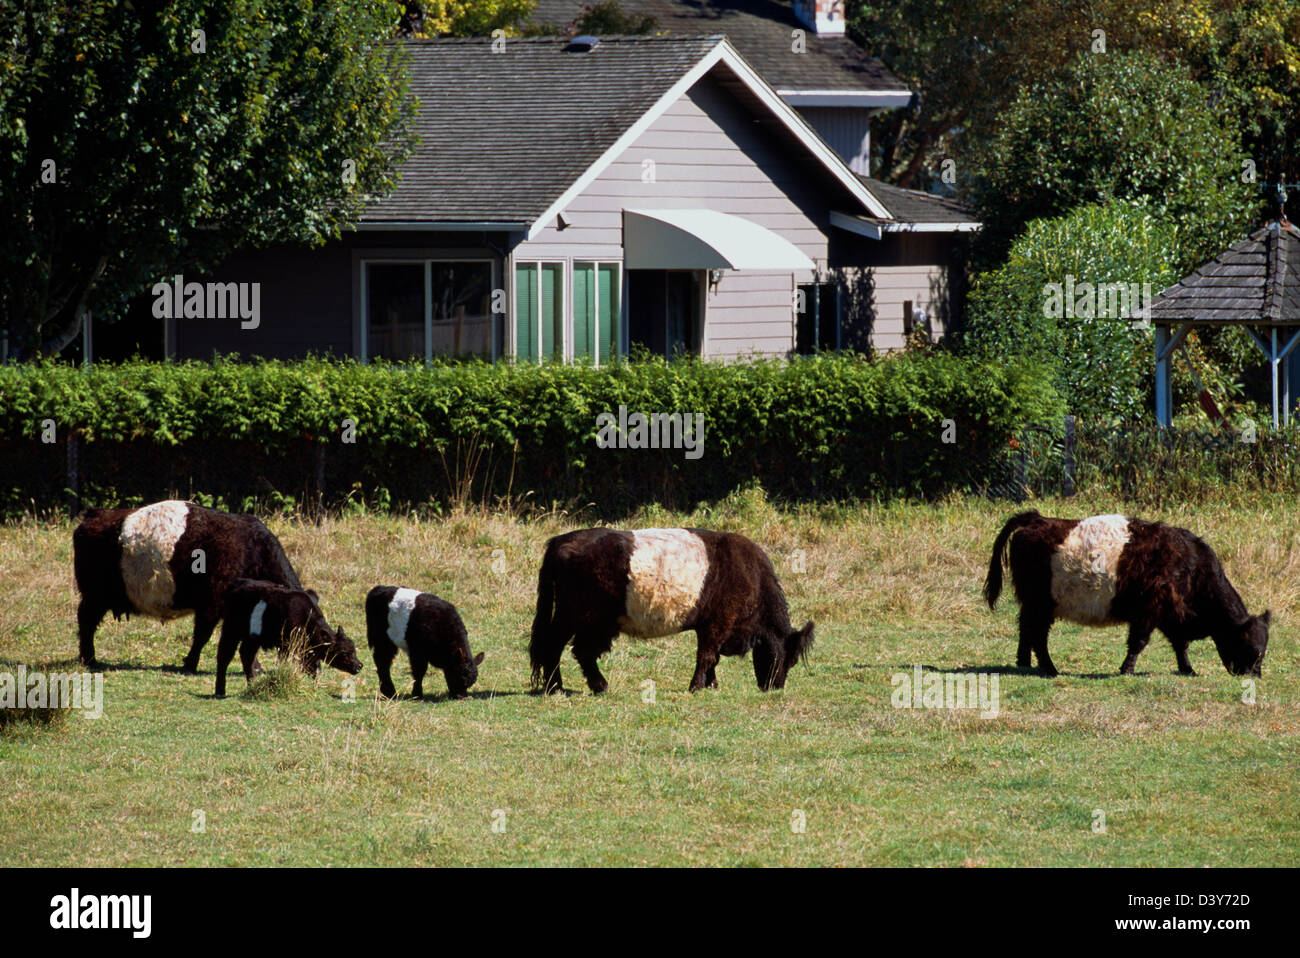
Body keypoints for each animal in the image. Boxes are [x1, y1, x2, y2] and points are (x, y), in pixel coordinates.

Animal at [75, 496, 306, 670]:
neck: (253, 551)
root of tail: (94, 514)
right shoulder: (212, 604)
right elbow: (202, 635)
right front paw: (190, 664)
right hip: (94, 597)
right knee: (86, 622)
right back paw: (89, 659)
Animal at [213, 574, 364, 696]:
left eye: (354, 650)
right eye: (344, 653)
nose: (359, 665)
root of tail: (236, 584)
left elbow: (313, 669)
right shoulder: (286, 647)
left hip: (252, 639)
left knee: (246, 656)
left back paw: (252, 685)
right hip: (231, 631)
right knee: (224, 656)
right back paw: (220, 690)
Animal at [527, 527, 811, 691]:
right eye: (789, 659)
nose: (775, 688)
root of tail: (562, 540)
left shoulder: (712, 627)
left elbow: (712, 657)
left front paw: (711, 684)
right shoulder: (718, 623)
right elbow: (706, 656)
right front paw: (696, 686)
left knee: (559, 647)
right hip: (584, 616)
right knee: (570, 648)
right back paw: (582, 686)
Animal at [982, 512, 1268, 675]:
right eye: (1254, 649)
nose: (1253, 676)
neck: (1191, 565)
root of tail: (1036, 519)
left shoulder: (1171, 615)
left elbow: (1180, 644)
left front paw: (1187, 668)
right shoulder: (1149, 611)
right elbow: (1139, 642)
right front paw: (1127, 669)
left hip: (1032, 603)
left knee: (1025, 629)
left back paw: (1024, 662)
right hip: (1041, 603)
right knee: (1038, 635)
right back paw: (1049, 668)